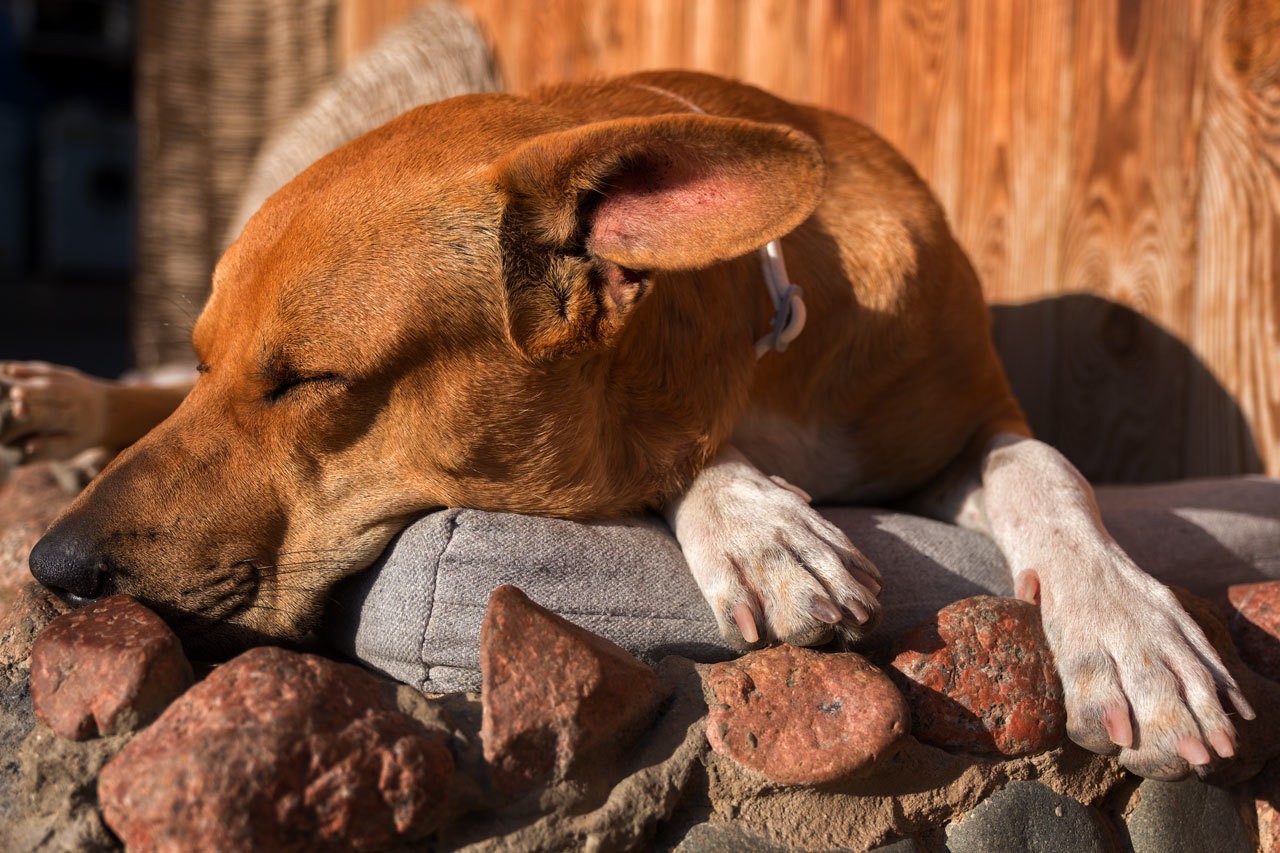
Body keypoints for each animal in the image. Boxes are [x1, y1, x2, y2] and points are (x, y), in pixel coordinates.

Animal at [10, 73, 1249, 778]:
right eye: (213, 360)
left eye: (308, 380)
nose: (50, 567)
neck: (765, 338)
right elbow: (679, 455)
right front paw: (752, 520)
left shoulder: (969, 427)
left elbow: (1048, 471)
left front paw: (1126, 631)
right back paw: (57, 400)